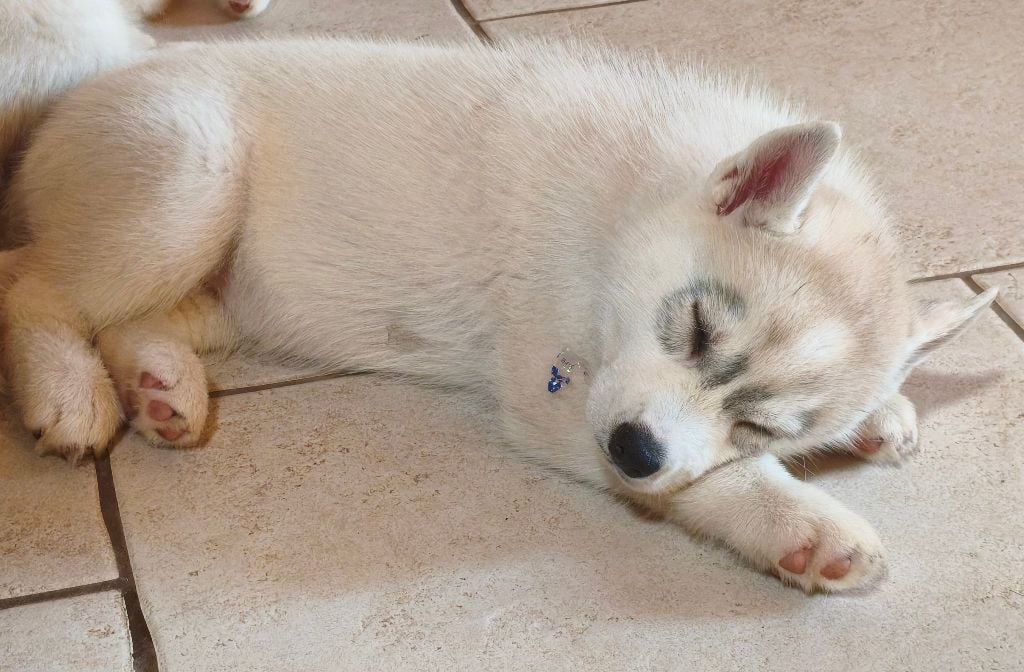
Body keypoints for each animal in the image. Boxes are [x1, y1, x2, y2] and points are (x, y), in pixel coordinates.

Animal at [0, 36, 994, 593]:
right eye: (696, 329)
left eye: (762, 423)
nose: (636, 450)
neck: (628, 209)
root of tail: (63, 103)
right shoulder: (556, 396)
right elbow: (706, 484)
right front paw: (805, 529)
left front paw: (885, 411)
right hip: (187, 178)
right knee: (32, 282)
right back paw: (71, 391)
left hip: (222, 287)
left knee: (124, 311)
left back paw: (161, 385)